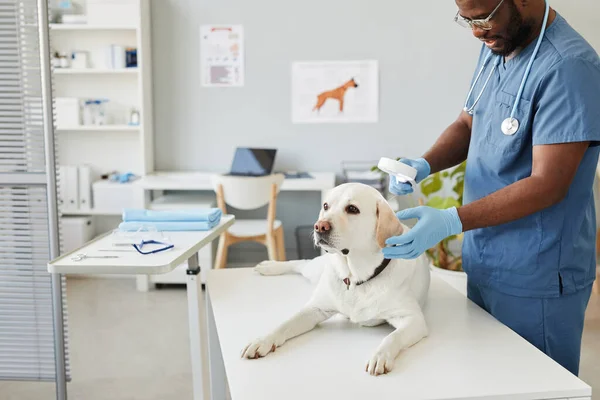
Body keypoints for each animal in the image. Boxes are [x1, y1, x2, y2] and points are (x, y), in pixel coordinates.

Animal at [241, 181, 428, 376]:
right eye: (325, 206)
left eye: (352, 209)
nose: (319, 226)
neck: (355, 279)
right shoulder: (314, 309)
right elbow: (284, 324)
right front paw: (263, 340)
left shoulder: (413, 319)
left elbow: (392, 337)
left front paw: (380, 356)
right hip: (315, 270)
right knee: (300, 263)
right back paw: (270, 266)